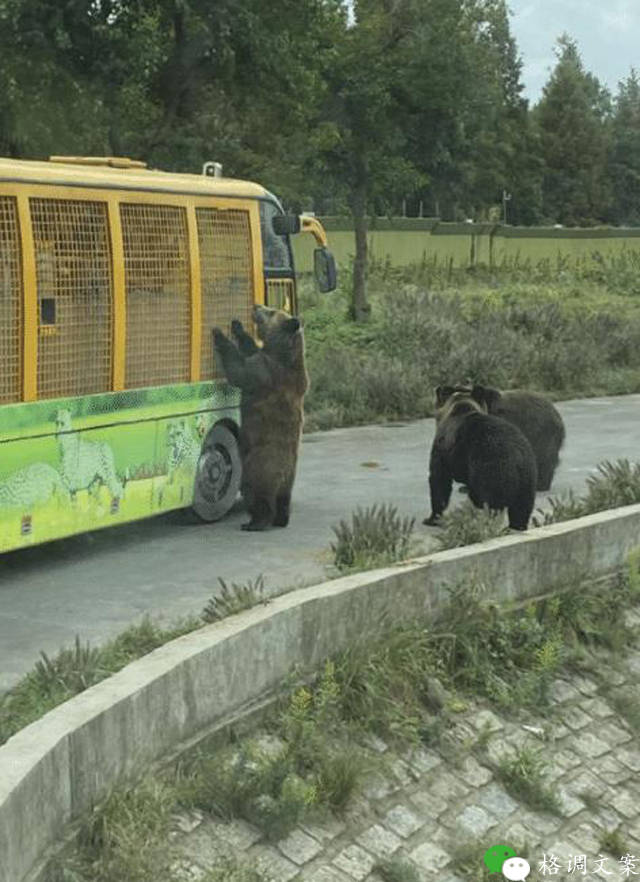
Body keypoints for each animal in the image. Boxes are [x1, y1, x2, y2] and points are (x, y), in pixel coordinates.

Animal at [212, 304, 308, 528]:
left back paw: (254, 523)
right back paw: (281, 519)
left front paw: (219, 335)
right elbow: (251, 349)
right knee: (284, 499)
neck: (282, 352)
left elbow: (240, 370)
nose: (256, 306)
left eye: (271, 311)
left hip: (258, 465)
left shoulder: (266, 372)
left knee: (257, 494)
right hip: (289, 478)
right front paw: (238, 328)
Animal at [424, 386, 540, 524]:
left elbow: (439, 480)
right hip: (527, 481)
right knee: (521, 511)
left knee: (490, 504)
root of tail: (517, 458)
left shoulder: (443, 447)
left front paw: (432, 518)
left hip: (491, 468)